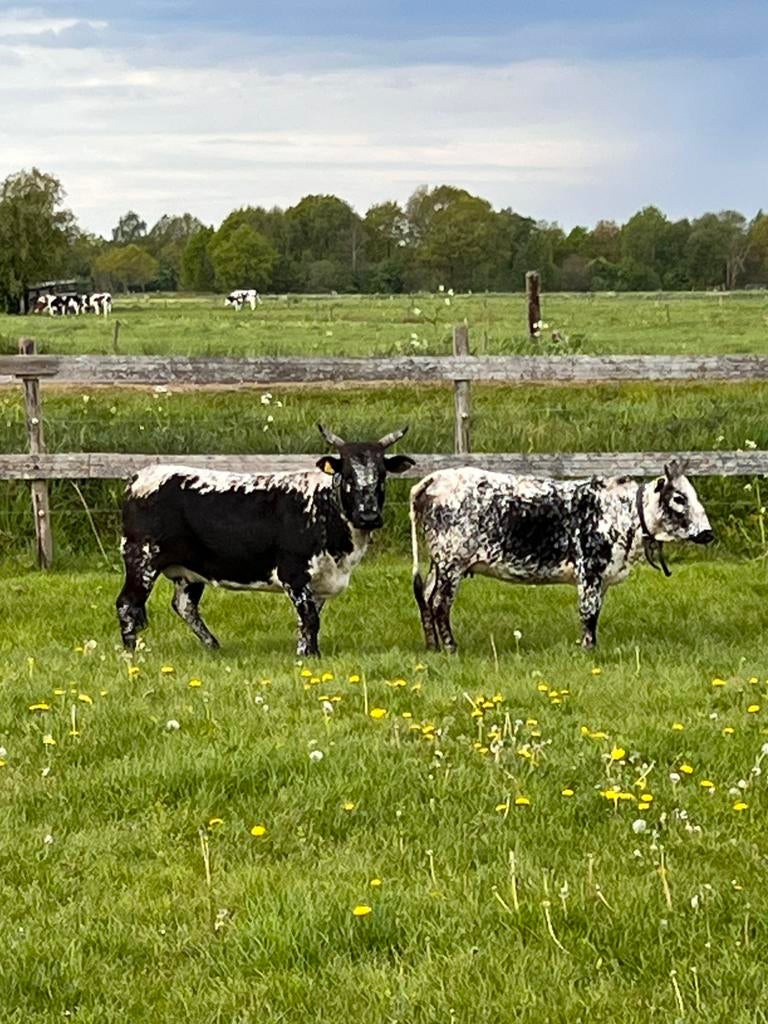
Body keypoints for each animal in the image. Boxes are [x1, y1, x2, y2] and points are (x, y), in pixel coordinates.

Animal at [116, 424, 414, 656]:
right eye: (348, 476)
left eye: (382, 475)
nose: (368, 516)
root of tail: (140, 476)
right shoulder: (294, 574)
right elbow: (310, 620)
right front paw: (311, 657)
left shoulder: (319, 581)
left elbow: (308, 622)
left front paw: (305, 652)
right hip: (142, 558)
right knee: (128, 604)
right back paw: (132, 654)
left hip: (190, 570)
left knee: (184, 606)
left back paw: (214, 647)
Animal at [409, 461, 714, 652]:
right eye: (679, 498)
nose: (708, 532)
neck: (624, 513)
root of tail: (435, 478)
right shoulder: (589, 572)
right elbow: (588, 614)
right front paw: (589, 649)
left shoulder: (603, 578)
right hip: (452, 565)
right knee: (439, 604)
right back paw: (450, 647)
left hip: (439, 566)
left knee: (424, 598)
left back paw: (432, 646)